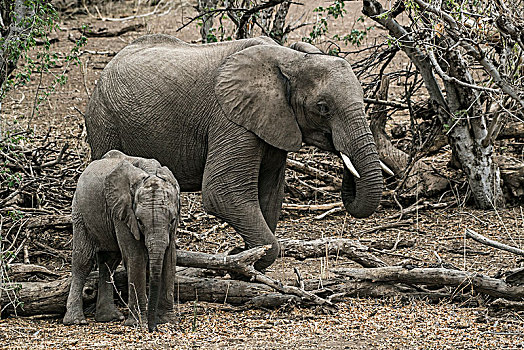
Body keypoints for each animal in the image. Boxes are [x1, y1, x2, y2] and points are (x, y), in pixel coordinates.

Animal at [63, 150, 180, 330]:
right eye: (139, 221)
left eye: (172, 220)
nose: (152, 328)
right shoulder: (123, 213)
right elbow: (136, 256)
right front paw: (138, 323)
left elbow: (170, 258)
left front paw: (167, 320)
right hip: (80, 211)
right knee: (83, 260)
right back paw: (76, 321)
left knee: (109, 261)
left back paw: (109, 318)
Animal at [84, 34, 382, 270]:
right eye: (323, 107)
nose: (343, 156)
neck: (291, 58)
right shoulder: (230, 120)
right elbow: (222, 193)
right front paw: (241, 257)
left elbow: (270, 195)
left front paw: (245, 258)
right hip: (103, 120)